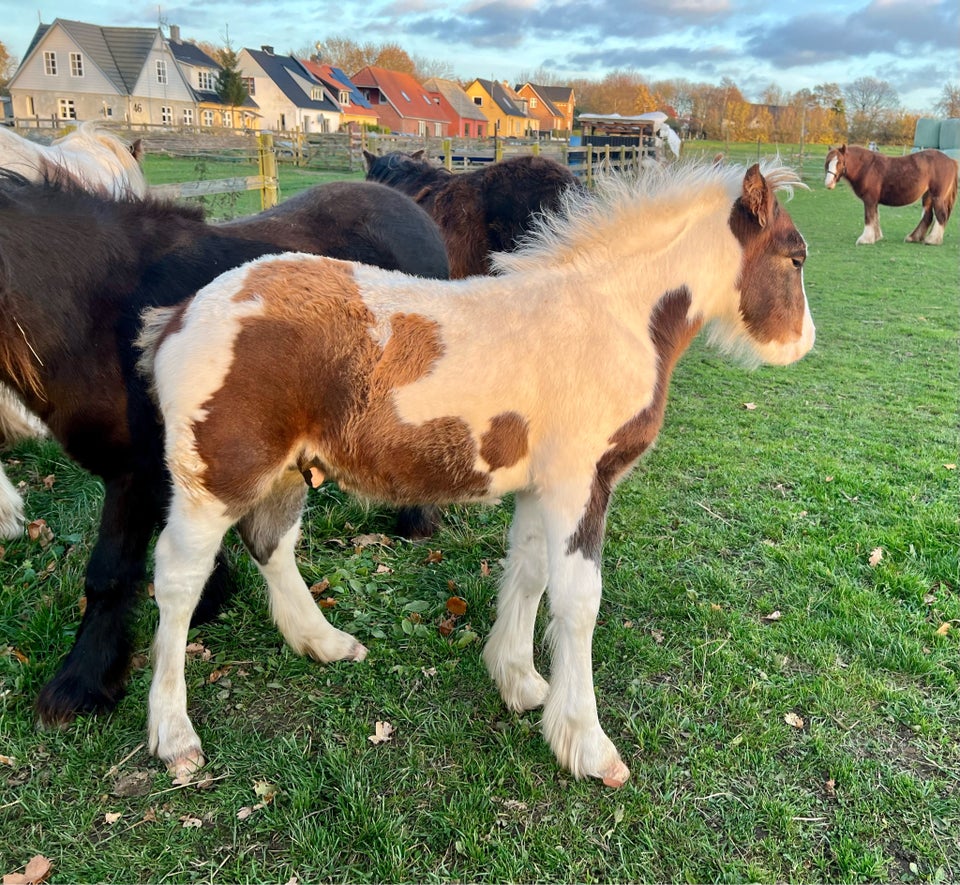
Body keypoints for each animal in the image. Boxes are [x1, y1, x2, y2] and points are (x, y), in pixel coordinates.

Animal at [820, 144, 956, 243]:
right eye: (827, 162)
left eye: (839, 162)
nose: (828, 183)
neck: (867, 167)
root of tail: (951, 160)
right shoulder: (874, 201)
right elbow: (875, 217)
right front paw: (876, 237)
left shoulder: (869, 200)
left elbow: (869, 217)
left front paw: (865, 239)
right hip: (927, 196)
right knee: (928, 216)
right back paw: (913, 238)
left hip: (937, 196)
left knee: (941, 215)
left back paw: (932, 240)